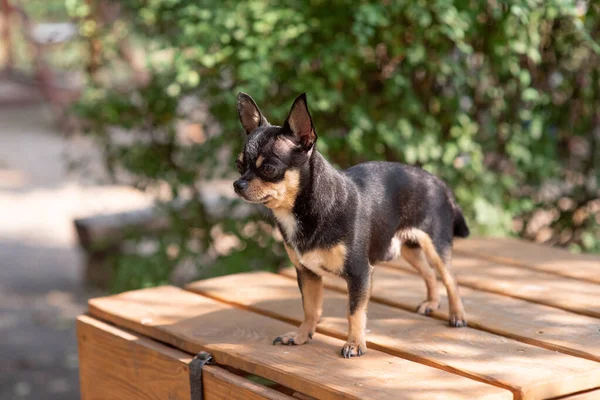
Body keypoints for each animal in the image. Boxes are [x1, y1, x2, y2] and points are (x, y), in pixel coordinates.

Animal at [233, 94, 468, 360]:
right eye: (239, 165)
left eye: (269, 169)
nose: (237, 184)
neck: (303, 210)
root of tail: (438, 181)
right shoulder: (308, 274)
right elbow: (310, 309)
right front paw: (302, 336)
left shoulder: (359, 274)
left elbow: (354, 312)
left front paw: (355, 344)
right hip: (408, 247)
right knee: (428, 272)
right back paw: (431, 303)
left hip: (435, 246)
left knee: (450, 278)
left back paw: (457, 315)